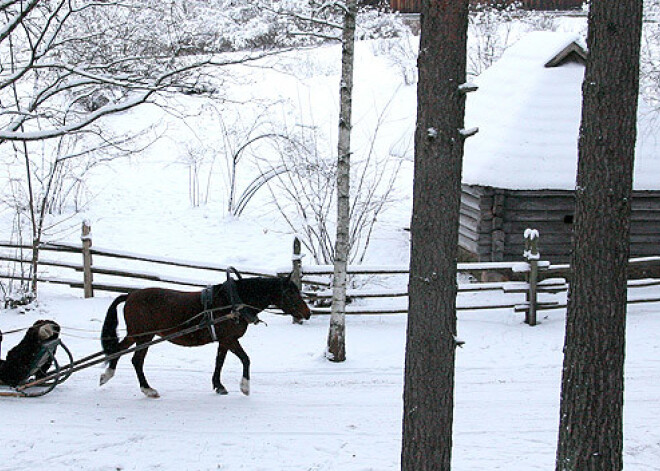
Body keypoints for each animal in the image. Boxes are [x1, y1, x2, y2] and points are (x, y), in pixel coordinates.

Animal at [99, 274, 310, 400]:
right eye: (291, 292)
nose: (307, 313)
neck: (232, 303)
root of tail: (130, 294)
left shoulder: (224, 340)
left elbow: (219, 362)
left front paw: (218, 385)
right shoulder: (230, 339)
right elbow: (246, 359)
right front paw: (245, 387)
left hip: (136, 334)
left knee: (118, 350)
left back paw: (107, 375)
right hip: (144, 336)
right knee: (136, 360)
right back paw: (147, 389)